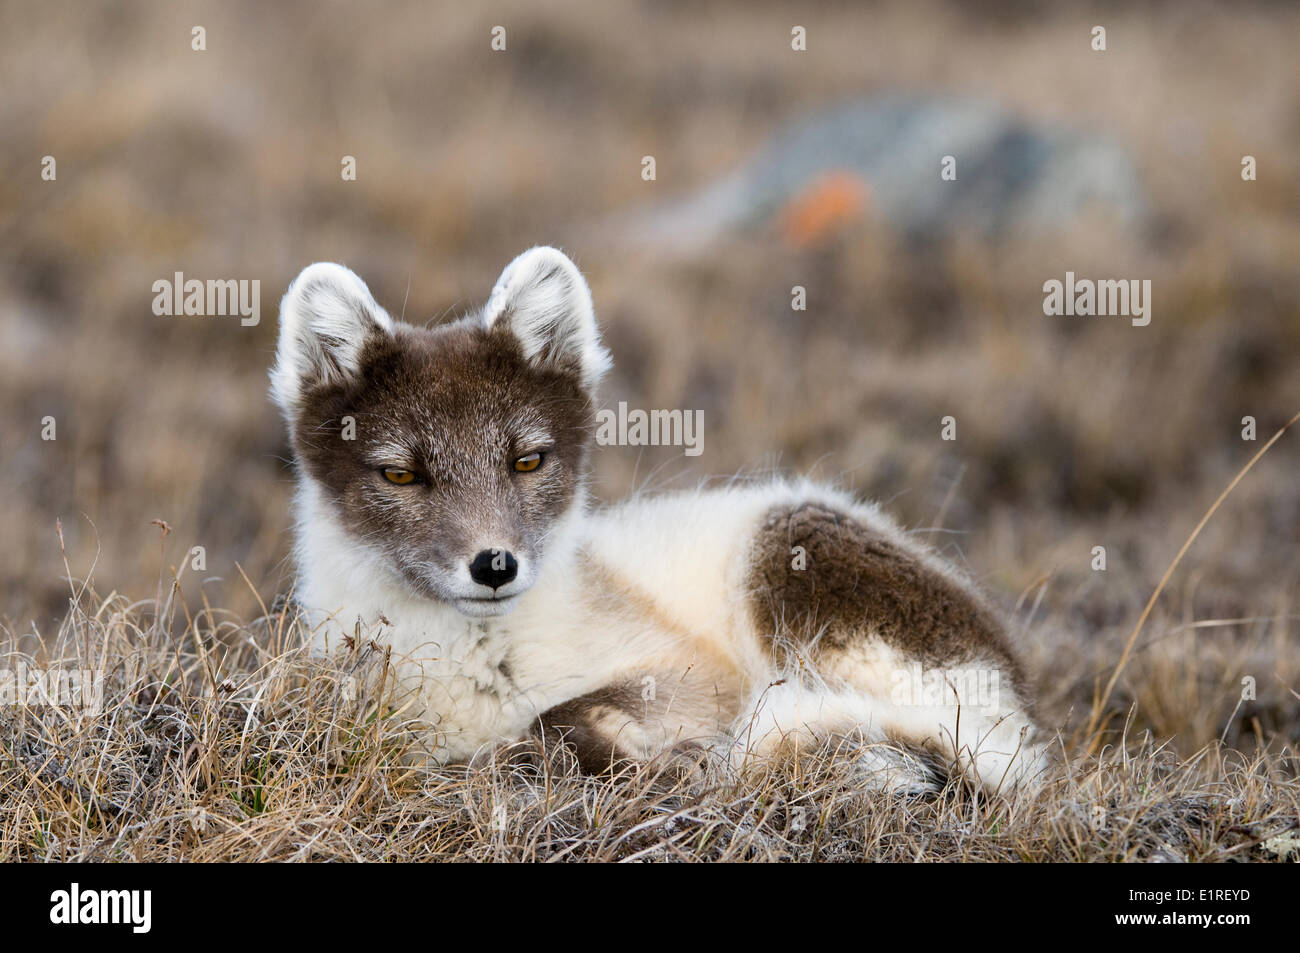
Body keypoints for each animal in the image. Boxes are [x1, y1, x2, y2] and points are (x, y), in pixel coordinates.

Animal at [274, 243, 1045, 790]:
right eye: (401, 473)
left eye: (527, 460)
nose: (495, 565)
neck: (473, 662)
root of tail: (1014, 693)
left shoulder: (695, 672)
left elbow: (561, 715)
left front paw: (643, 753)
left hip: (791, 552)